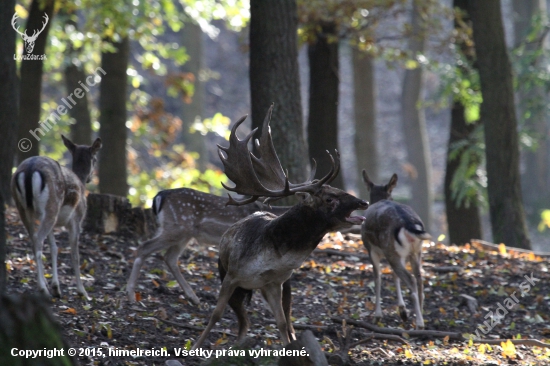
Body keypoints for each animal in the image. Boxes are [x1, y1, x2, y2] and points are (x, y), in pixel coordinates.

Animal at [10, 136, 102, 298]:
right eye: (95, 159)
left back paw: (45, 286)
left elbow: (54, 248)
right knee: (38, 240)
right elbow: (75, 255)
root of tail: (29, 170)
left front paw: (56, 287)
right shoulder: (76, 220)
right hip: (52, 205)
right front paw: (83, 291)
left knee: (33, 238)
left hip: (23, 208)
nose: (90, 178)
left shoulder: (53, 224)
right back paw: (42, 288)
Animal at [194, 106, 370, 348]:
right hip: (230, 276)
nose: (363, 202)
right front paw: (196, 346)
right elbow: (216, 314)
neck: (271, 258)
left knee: (285, 318)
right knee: (244, 319)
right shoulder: (232, 275)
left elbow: (282, 323)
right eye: (329, 198)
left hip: (284, 287)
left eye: (338, 189)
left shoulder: (275, 283)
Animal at [360, 171, 434, 328]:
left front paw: (377, 316)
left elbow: (377, 278)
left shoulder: (372, 250)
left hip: (391, 251)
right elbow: (394, 277)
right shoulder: (399, 255)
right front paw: (403, 312)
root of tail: (409, 224)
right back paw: (420, 316)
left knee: (411, 280)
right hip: (414, 252)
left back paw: (419, 323)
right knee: (419, 279)